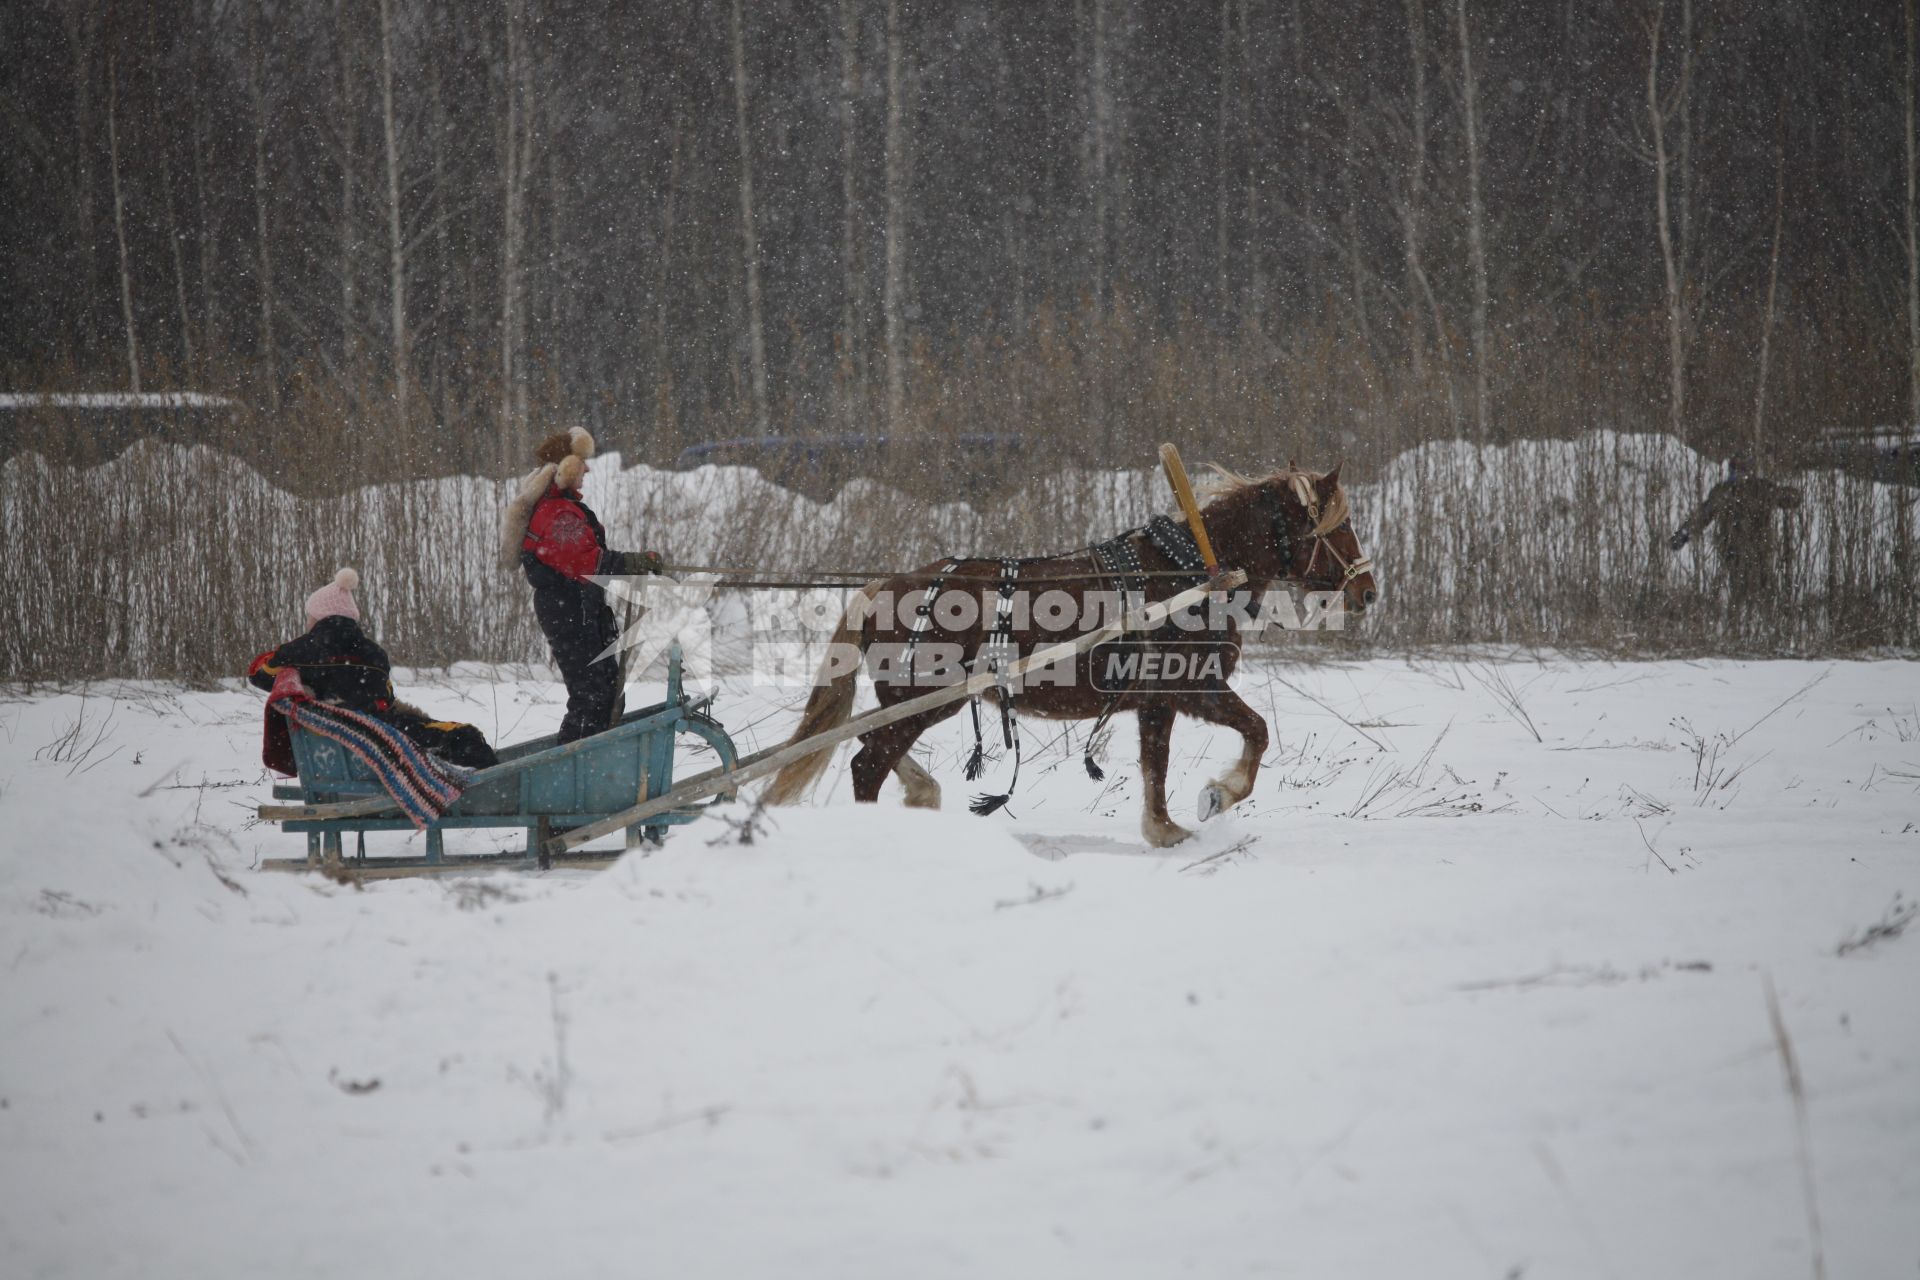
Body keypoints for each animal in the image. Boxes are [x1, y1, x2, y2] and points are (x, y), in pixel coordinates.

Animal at [756, 466, 1374, 844]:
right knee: (867, 763)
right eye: (1340, 524)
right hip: (924, 698)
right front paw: (1218, 796)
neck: (1190, 570)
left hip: (918, 702)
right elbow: (1257, 731)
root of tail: (882, 585)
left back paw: (921, 791)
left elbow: (1155, 766)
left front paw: (1163, 830)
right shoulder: (1194, 688)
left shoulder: (1156, 701)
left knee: (868, 745)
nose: (1367, 591)